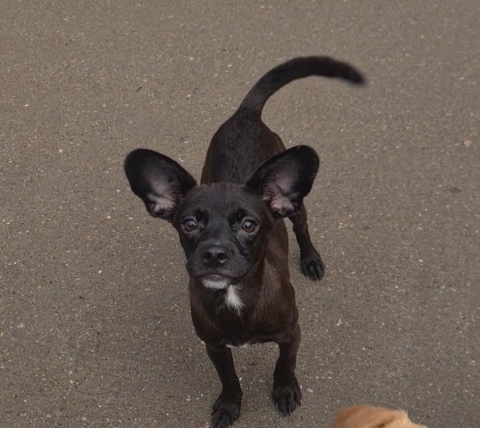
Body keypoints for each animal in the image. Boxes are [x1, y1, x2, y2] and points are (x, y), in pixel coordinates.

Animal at [124, 56, 364, 428]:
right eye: (189, 224)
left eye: (249, 225)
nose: (214, 254)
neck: (235, 296)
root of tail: (245, 114)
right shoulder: (214, 346)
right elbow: (229, 378)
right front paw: (229, 404)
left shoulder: (291, 335)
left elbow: (285, 364)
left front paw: (284, 391)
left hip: (296, 209)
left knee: (302, 229)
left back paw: (310, 259)